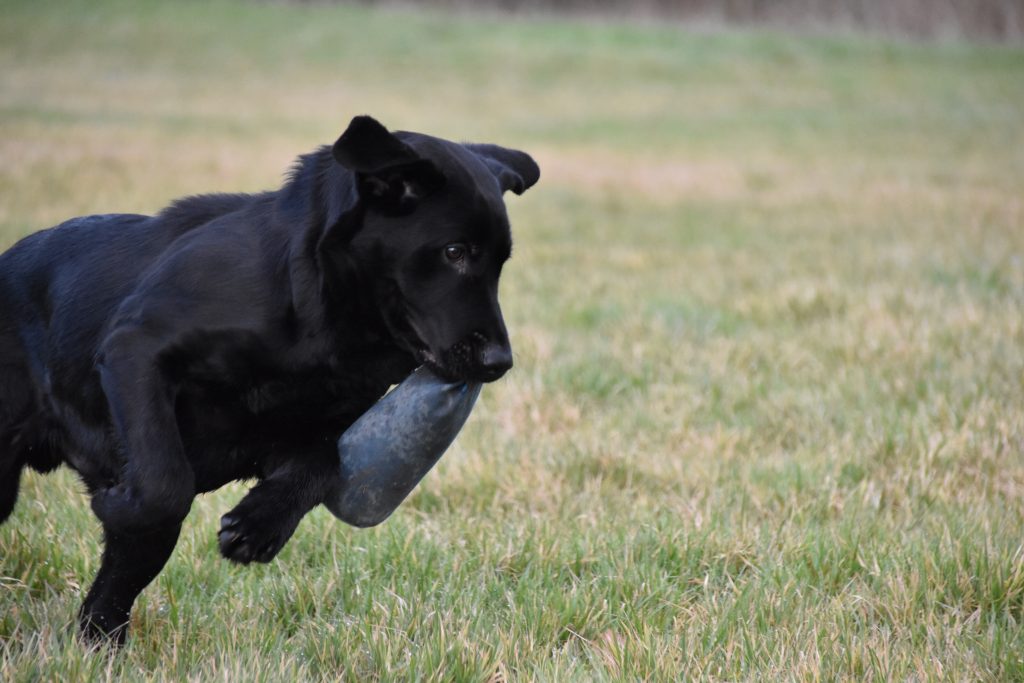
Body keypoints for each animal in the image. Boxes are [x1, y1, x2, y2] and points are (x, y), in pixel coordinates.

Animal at [0, 114, 540, 643]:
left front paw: (259, 526)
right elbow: (162, 489)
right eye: (454, 252)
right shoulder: (135, 349)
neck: (311, 302)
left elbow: (321, 466)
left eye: (500, 262)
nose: (500, 361)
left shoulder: (298, 432)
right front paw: (120, 509)